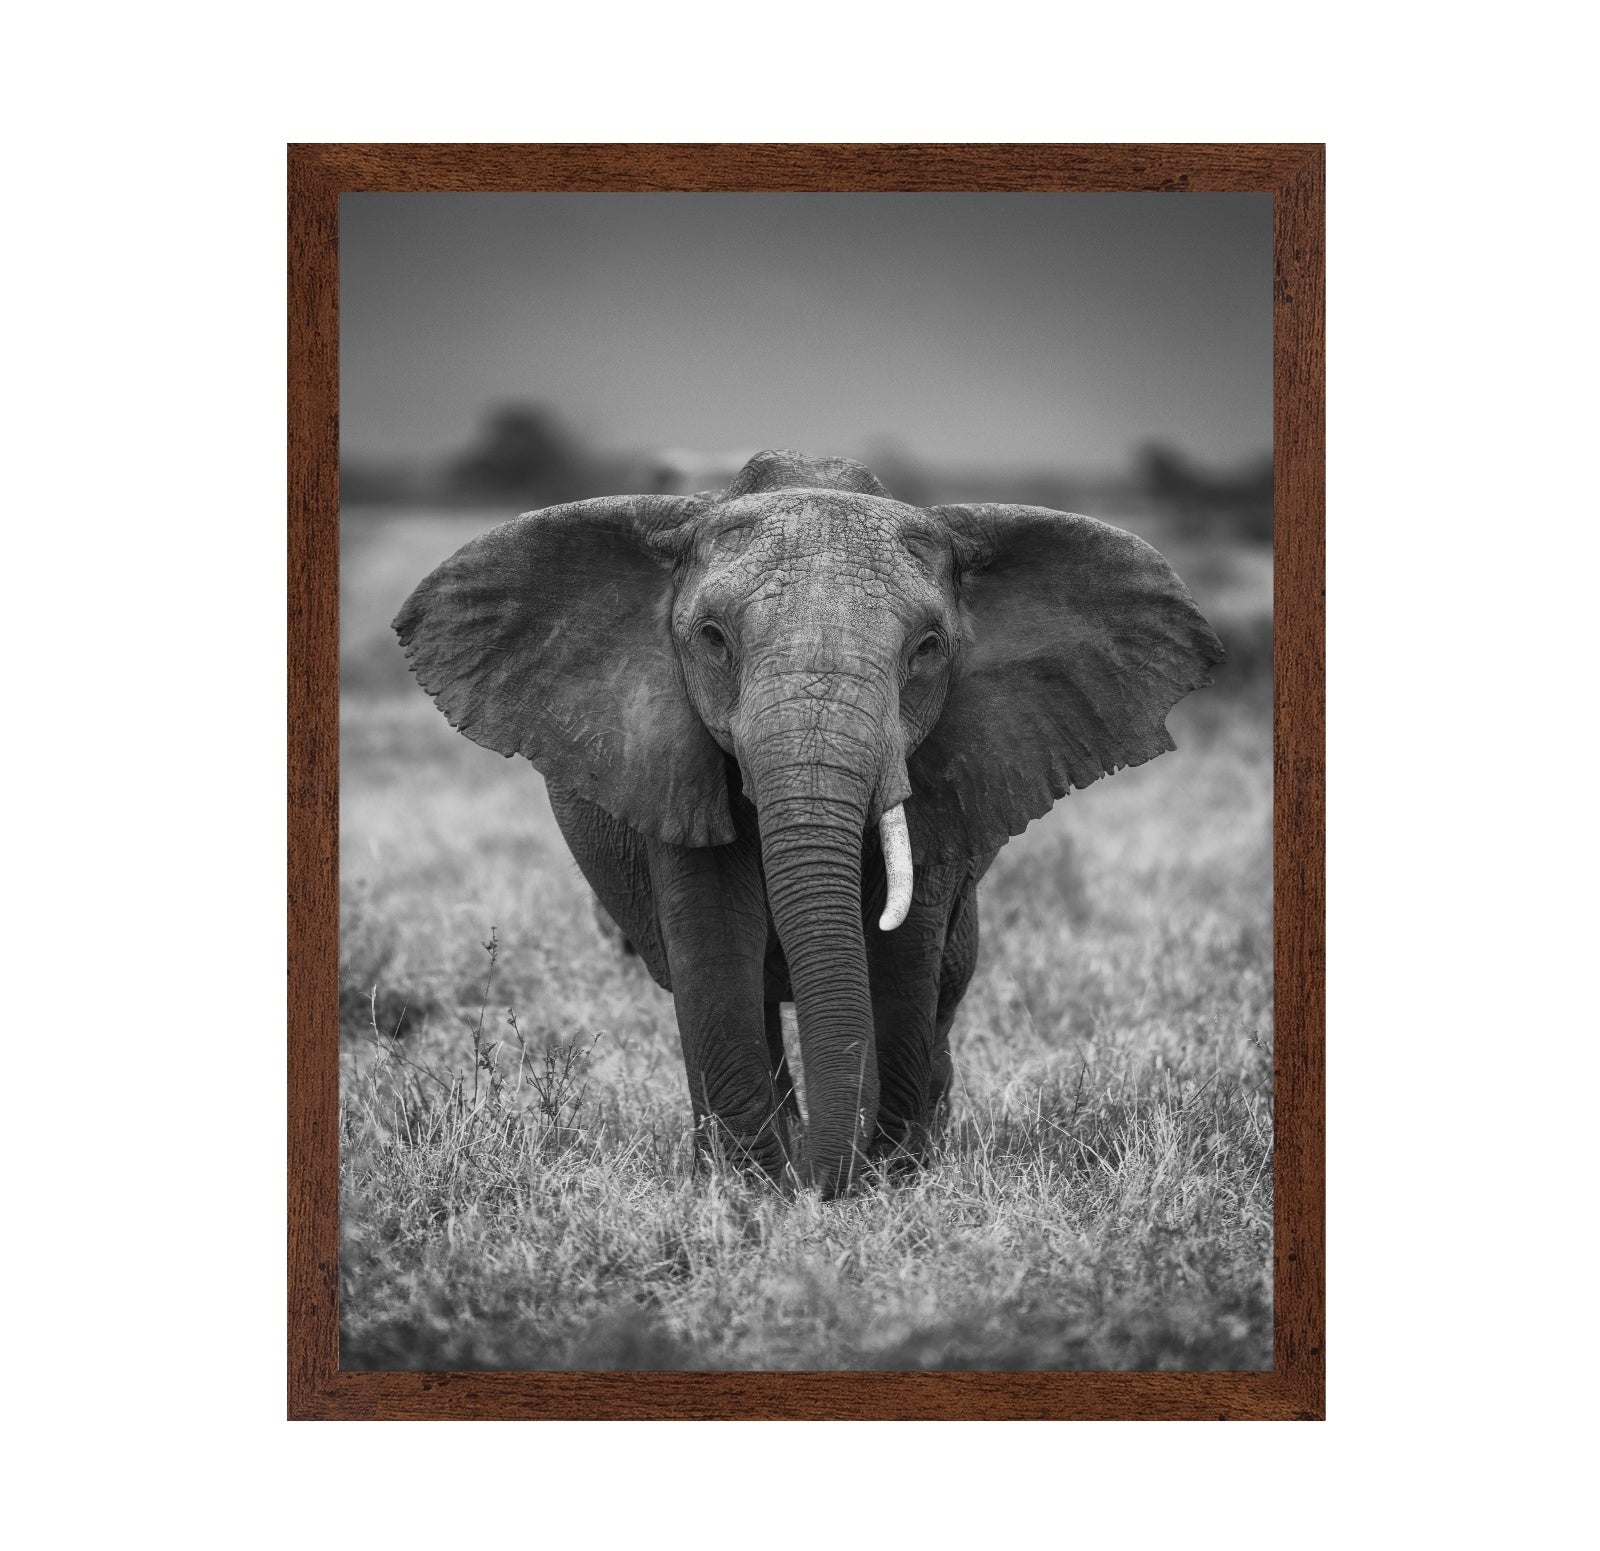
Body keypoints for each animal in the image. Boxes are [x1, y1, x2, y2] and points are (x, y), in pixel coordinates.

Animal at [394, 448, 1224, 1196]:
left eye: (927, 650)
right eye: (712, 639)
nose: (825, 1182)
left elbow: (905, 953)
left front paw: (887, 1179)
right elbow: (714, 942)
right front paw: (752, 1187)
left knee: (949, 981)